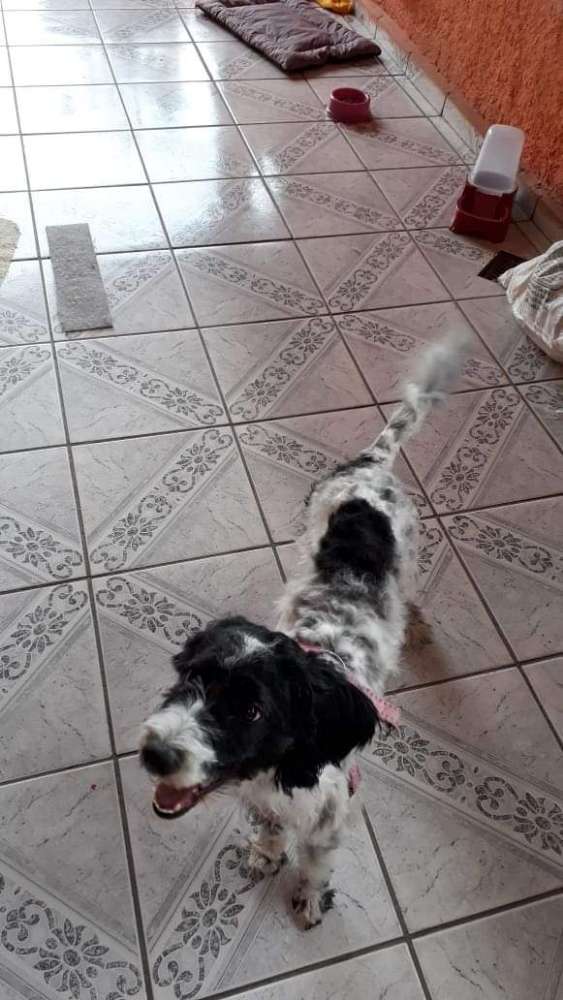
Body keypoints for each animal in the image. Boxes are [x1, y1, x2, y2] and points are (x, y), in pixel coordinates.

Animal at [139, 333, 465, 929]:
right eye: (192, 678)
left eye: (252, 711)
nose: (156, 755)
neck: (276, 772)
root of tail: (370, 468)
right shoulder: (262, 803)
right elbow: (270, 832)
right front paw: (267, 855)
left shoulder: (330, 819)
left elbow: (315, 864)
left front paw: (310, 898)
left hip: (409, 551)